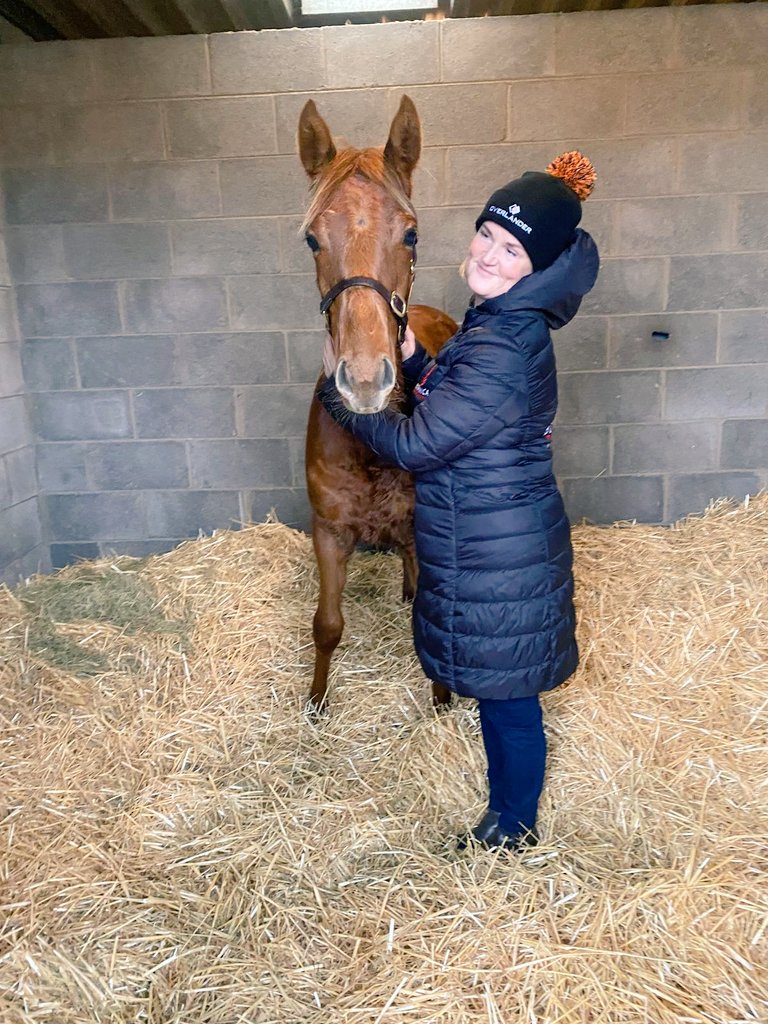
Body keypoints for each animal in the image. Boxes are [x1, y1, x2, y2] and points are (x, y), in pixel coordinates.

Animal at [298, 95, 457, 712]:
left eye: (410, 235)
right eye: (312, 239)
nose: (365, 380)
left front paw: (441, 696)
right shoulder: (328, 531)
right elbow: (326, 625)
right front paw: (317, 701)